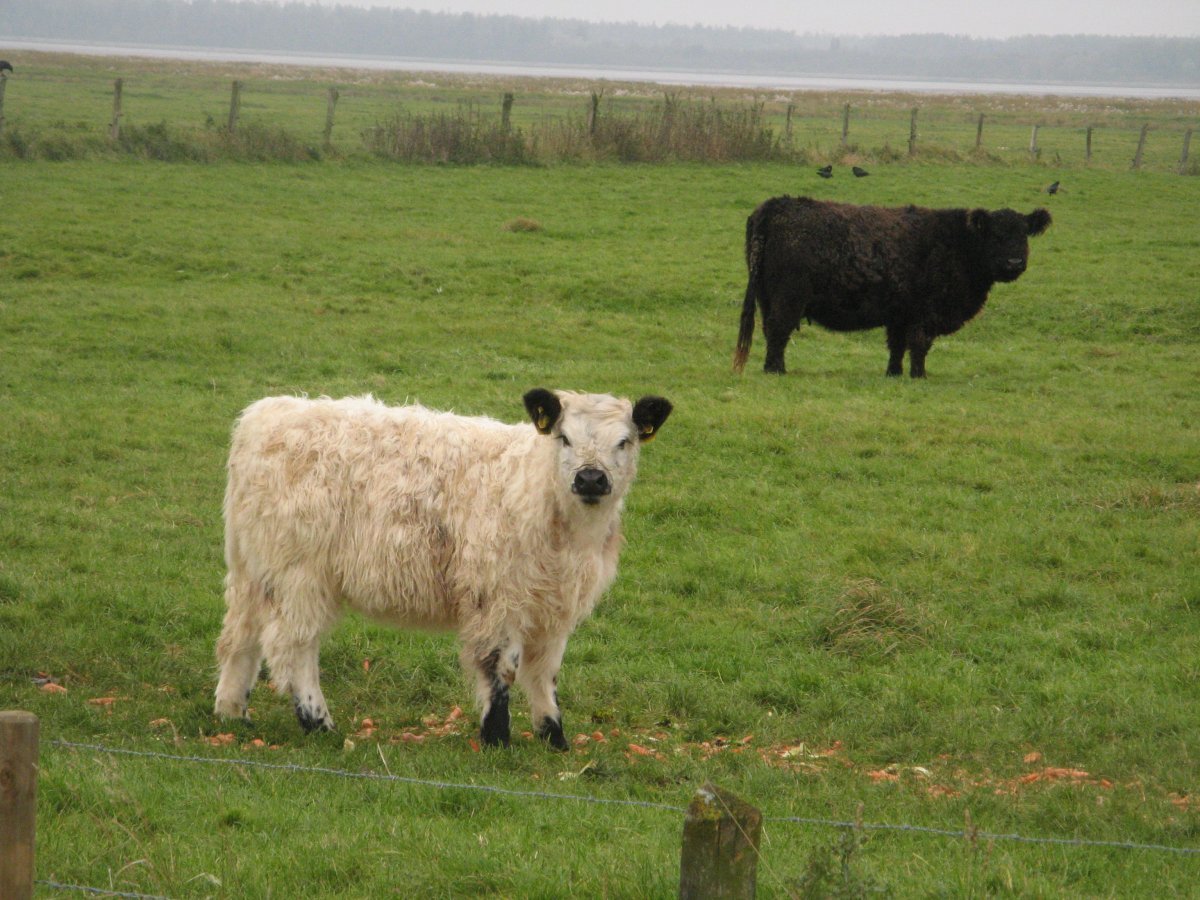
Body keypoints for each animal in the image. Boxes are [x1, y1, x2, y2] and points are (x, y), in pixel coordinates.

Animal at [214, 389, 672, 750]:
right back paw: (319, 724)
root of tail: (265, 414)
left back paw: (232, 712)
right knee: (293, 647)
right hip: (300, 574)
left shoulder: (554, 606)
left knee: (240, 636)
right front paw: (496, 738)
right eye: (565, 438)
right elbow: (502, 668)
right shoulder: (496, 598)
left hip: (255, 570)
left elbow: (545, 672)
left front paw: (554, 737)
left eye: (624, 442)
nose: (591, 478)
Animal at [732, 196, 1052, 377]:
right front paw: (919, 375)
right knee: (779, 330)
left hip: (767, 296)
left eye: (1023, 234)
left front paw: (894, 374)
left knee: (771, 330)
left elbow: (897, 345)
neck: (959, 244)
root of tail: (777, 204)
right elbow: (919, 345)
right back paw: (776, 370)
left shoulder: (901, 313)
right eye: (996, 235)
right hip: (789, 297)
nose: (1014, 262)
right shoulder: (926, 313)